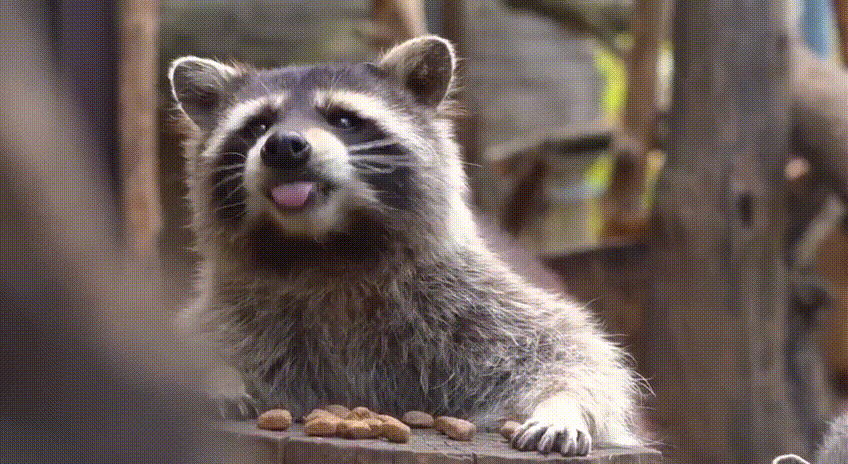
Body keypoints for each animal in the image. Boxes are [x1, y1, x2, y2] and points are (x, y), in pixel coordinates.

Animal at [169, 36, 641, 456]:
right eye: (259, 125)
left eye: (343, 120)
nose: (283, 146)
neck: (325, 247)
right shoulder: (233, 311)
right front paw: (211, 375)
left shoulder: (469, 299)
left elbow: (573, 355)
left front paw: (563, 407)